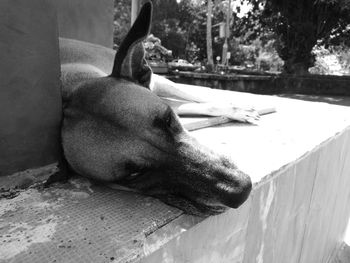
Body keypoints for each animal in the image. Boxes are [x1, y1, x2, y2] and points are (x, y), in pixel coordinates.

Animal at [59, 2, 252, 217]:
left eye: (168, 120)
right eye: (134, 174)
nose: (242, 190)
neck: (70, 90)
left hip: (164, 83)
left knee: (200, 98)